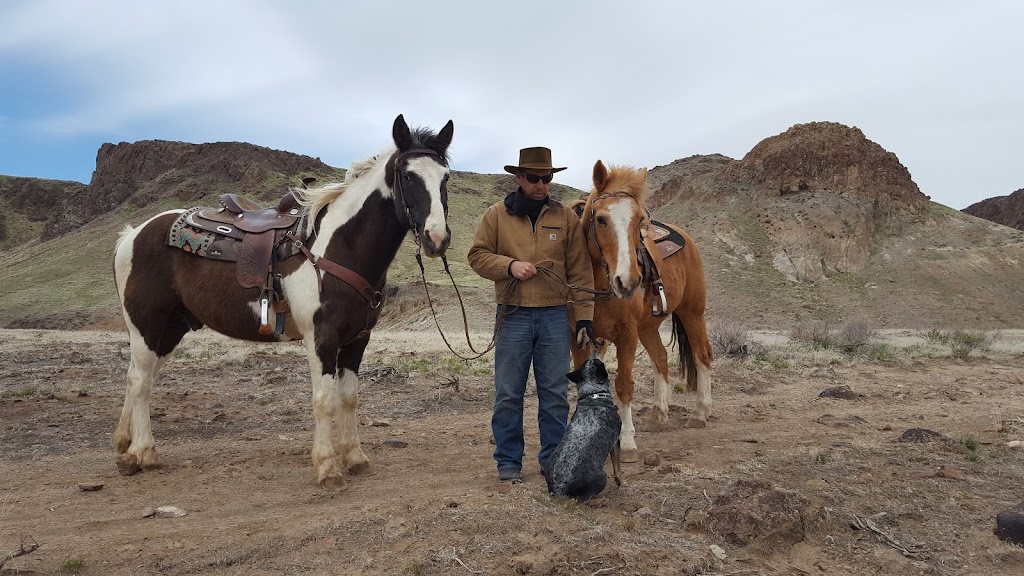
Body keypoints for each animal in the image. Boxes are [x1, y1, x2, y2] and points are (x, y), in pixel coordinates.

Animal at [110, 114, 454, 485]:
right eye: (407, 175)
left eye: (445, 177)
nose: (437, 238)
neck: (339, 247)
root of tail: (133, 234)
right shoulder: (321, 337)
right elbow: (325, 399)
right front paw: (327, 466)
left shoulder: (358, 339)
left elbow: (349, 397)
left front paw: (355, 457)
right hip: (146, 324)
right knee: (140, 381)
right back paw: (145, 452)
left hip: (171, 328)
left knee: (140, 377)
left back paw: (125, 446)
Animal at [544, 350, 622, 498]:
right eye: (597, 361)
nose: (594, 350)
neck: (594, 394)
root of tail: (559, 488)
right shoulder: (616, 441)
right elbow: (617, 465)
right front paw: (620, 481)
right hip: (602, 478)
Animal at [569, 159, 712, 461]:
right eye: (600, 219)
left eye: (638, 221)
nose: (629, 281)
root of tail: (687, 239)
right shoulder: (577, 337)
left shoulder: (627, 334)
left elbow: (624, 385)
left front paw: (626, 441)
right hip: (649, 327)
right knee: (660, 359)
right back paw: (659, 414)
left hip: (692, 313)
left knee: (702, 354)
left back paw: (700, 412)